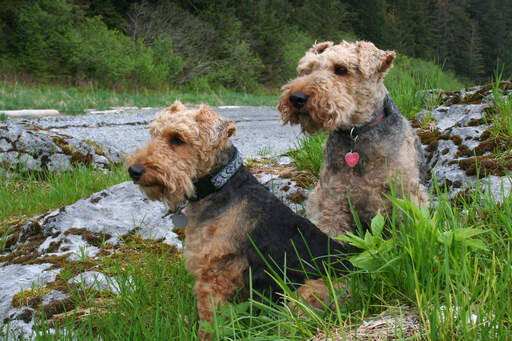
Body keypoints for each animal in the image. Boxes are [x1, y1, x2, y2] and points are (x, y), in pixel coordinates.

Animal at [126, 101, 354, 338]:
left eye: (177, 139)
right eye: (154, 133)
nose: (134, 170)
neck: (220, 184)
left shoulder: (213, 276)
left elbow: (210, 321)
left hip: (307, 296)